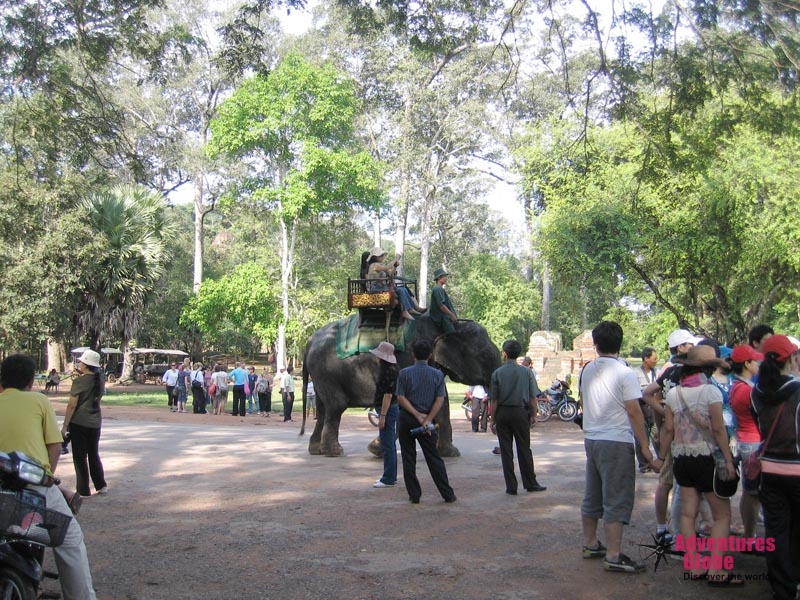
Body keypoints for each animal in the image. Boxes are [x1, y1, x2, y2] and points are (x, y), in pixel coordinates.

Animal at [300, 316, 500, 458]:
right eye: (484, 356)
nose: (495, 448)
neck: (450, 326)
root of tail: (309, 341)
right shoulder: (407, 358)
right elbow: (401, 400)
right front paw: (375, 450)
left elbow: (442, 401)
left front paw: (451, 454)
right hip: (326, 371)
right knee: (336, 406)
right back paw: (334, 452)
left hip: (321, 375)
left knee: (323, 408)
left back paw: (316, 450)